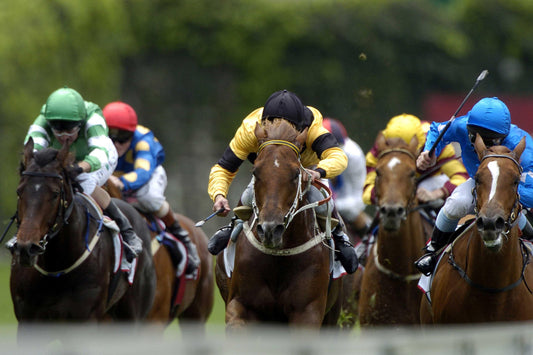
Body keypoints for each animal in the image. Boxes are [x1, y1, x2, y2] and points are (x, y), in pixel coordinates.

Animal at [9, 138, 156, 334]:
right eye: (19, 191)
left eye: (55, 194)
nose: (27, 248)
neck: (56, 268)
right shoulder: (28, 321)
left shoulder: (86, 320)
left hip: (132, 314)